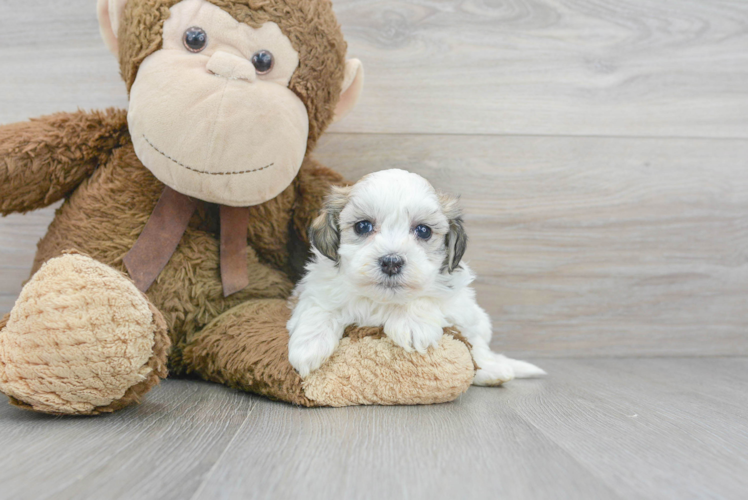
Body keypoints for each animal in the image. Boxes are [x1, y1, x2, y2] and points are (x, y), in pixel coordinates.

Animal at [286, 168, 544, 382]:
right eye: (362, 226)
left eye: (423, 231)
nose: (391, 262)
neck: (382, 301)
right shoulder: (314, 288)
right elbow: (319, 307)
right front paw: (308, 347)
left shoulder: (454, 298)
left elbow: (425, 297)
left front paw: (412, 324)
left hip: (476, 320)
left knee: (479, 349)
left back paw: (493, 371)